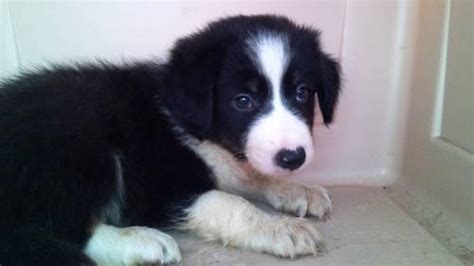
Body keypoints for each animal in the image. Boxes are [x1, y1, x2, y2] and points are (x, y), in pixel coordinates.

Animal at [0, 15, 340, 266]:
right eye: (243, 101)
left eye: (302, 93)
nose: (293, 157)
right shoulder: (156, 188)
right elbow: (230, 203)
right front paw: (278, 228)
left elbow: (251, 176)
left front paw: (297, 190)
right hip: (77, 139)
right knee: (61, 228)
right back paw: (138, 241)